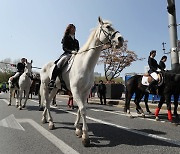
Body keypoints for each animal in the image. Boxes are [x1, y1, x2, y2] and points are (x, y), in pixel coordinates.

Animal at [39, 17, 124, 147]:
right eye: (108, 27)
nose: (121, 40)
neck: (85, 64)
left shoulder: (85, 91)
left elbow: (80, 108)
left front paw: (78, 129)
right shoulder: (75, 90)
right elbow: (83, 109)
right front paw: (85, 136)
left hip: (55, 88)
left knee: (48, 102)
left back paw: (46, 120)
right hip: (45, 86)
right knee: (46, 102)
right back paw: (51, 123)